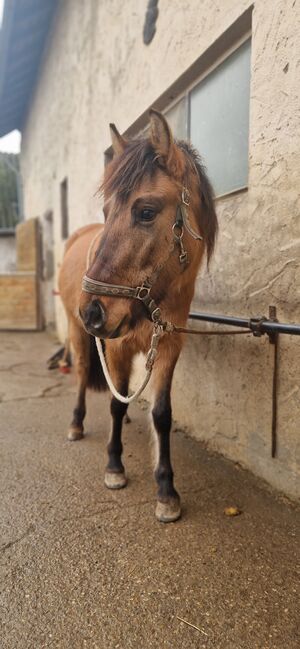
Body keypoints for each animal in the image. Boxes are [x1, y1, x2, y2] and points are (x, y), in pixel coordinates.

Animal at [59, 107, 218, 520]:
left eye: (146, 211)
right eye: (106, 211)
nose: (93, 310)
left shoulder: (168, 346)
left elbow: (161, 413)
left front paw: (166, 490)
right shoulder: (115, 345)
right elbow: (114, 402)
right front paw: (114, 466)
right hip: (77, 331)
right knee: (83, 373)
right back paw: (76, 423)